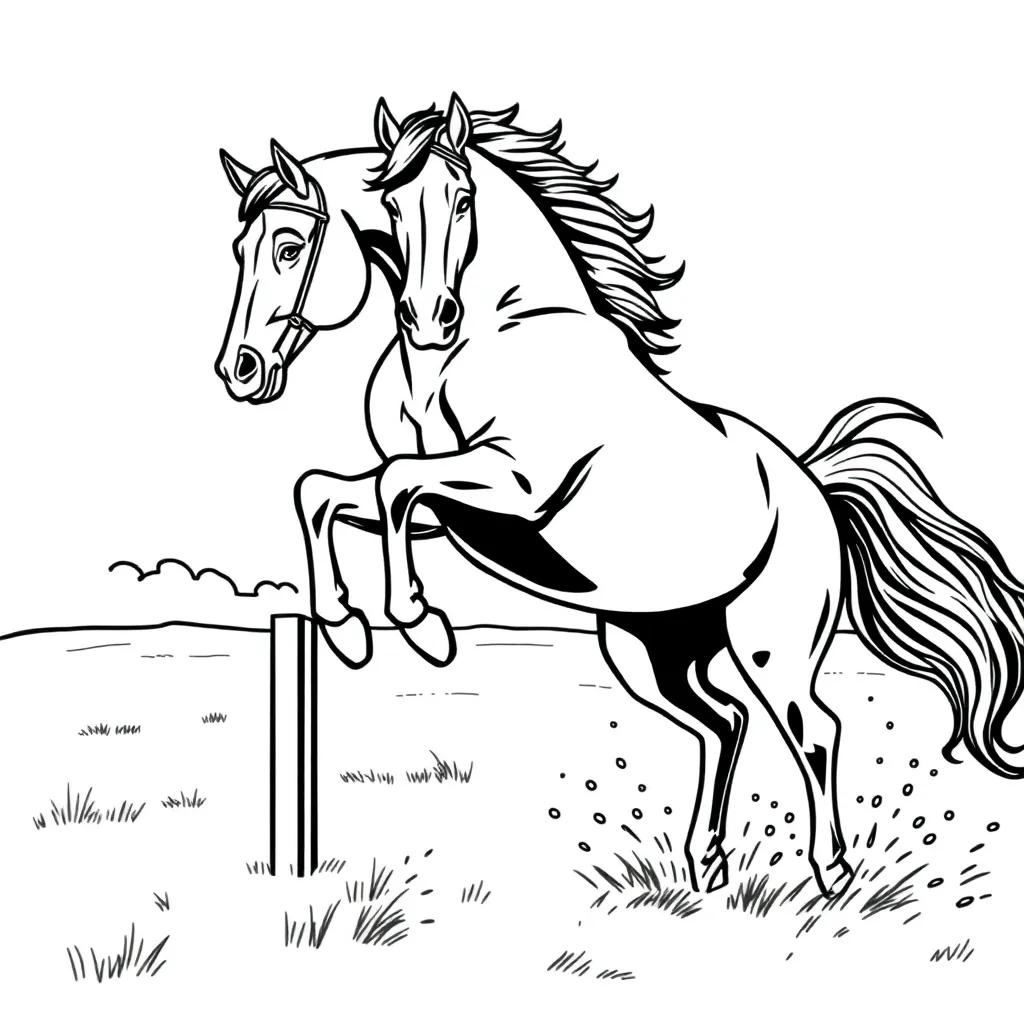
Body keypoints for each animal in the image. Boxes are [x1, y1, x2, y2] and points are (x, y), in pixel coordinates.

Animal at [362, 93, 1024, 899]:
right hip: (653, 650)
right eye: (393, 203)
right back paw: (706, 863)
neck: (500, 335)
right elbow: (339, 493)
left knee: (812, 730)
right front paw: (359, 620)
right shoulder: (448, 512)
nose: (429, 318)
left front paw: (420, 625)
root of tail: (818, 494)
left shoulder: (514, 484)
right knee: (724, 722)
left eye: (462, 199)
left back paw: (831, 874)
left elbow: (395, 485)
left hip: (769, 647)